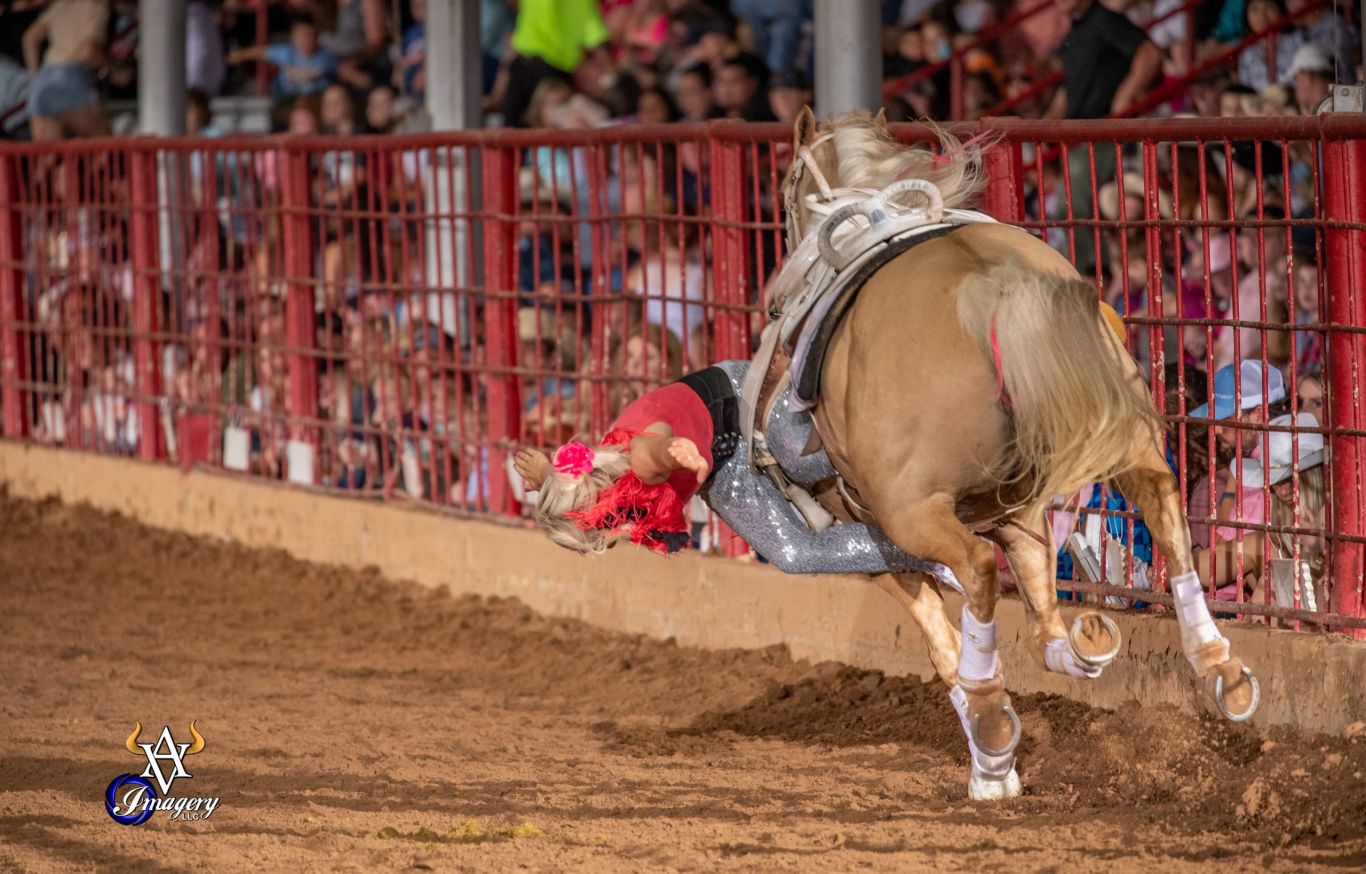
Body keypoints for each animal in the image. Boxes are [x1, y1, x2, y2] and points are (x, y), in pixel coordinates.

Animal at [781, 112, 1256, 802]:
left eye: (787, 195)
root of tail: (994, 284)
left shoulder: (873, 535)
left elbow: (943, 639)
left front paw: (992, 755)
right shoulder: (1017, 510)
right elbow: (1043, 618)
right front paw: (1076, 652)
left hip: (909, 512)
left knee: (978, 570)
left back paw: (990, 723)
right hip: (1120, 437)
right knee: (1164, 504)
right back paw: (1220, 665)